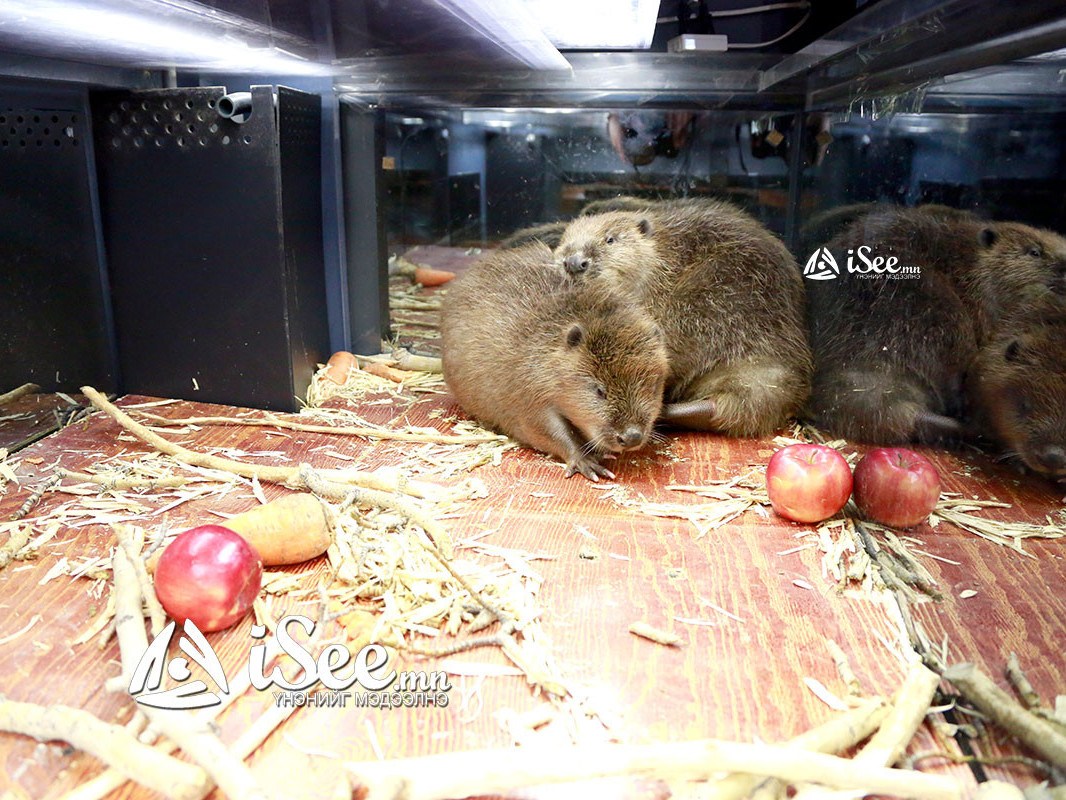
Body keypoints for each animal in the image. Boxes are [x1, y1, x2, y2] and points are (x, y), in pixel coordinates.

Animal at [441, 244, 665, 482]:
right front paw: (587, 463)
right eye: (599, 390)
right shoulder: (527, 389)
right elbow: (542, 428)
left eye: (653, 387)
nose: (632, 437)